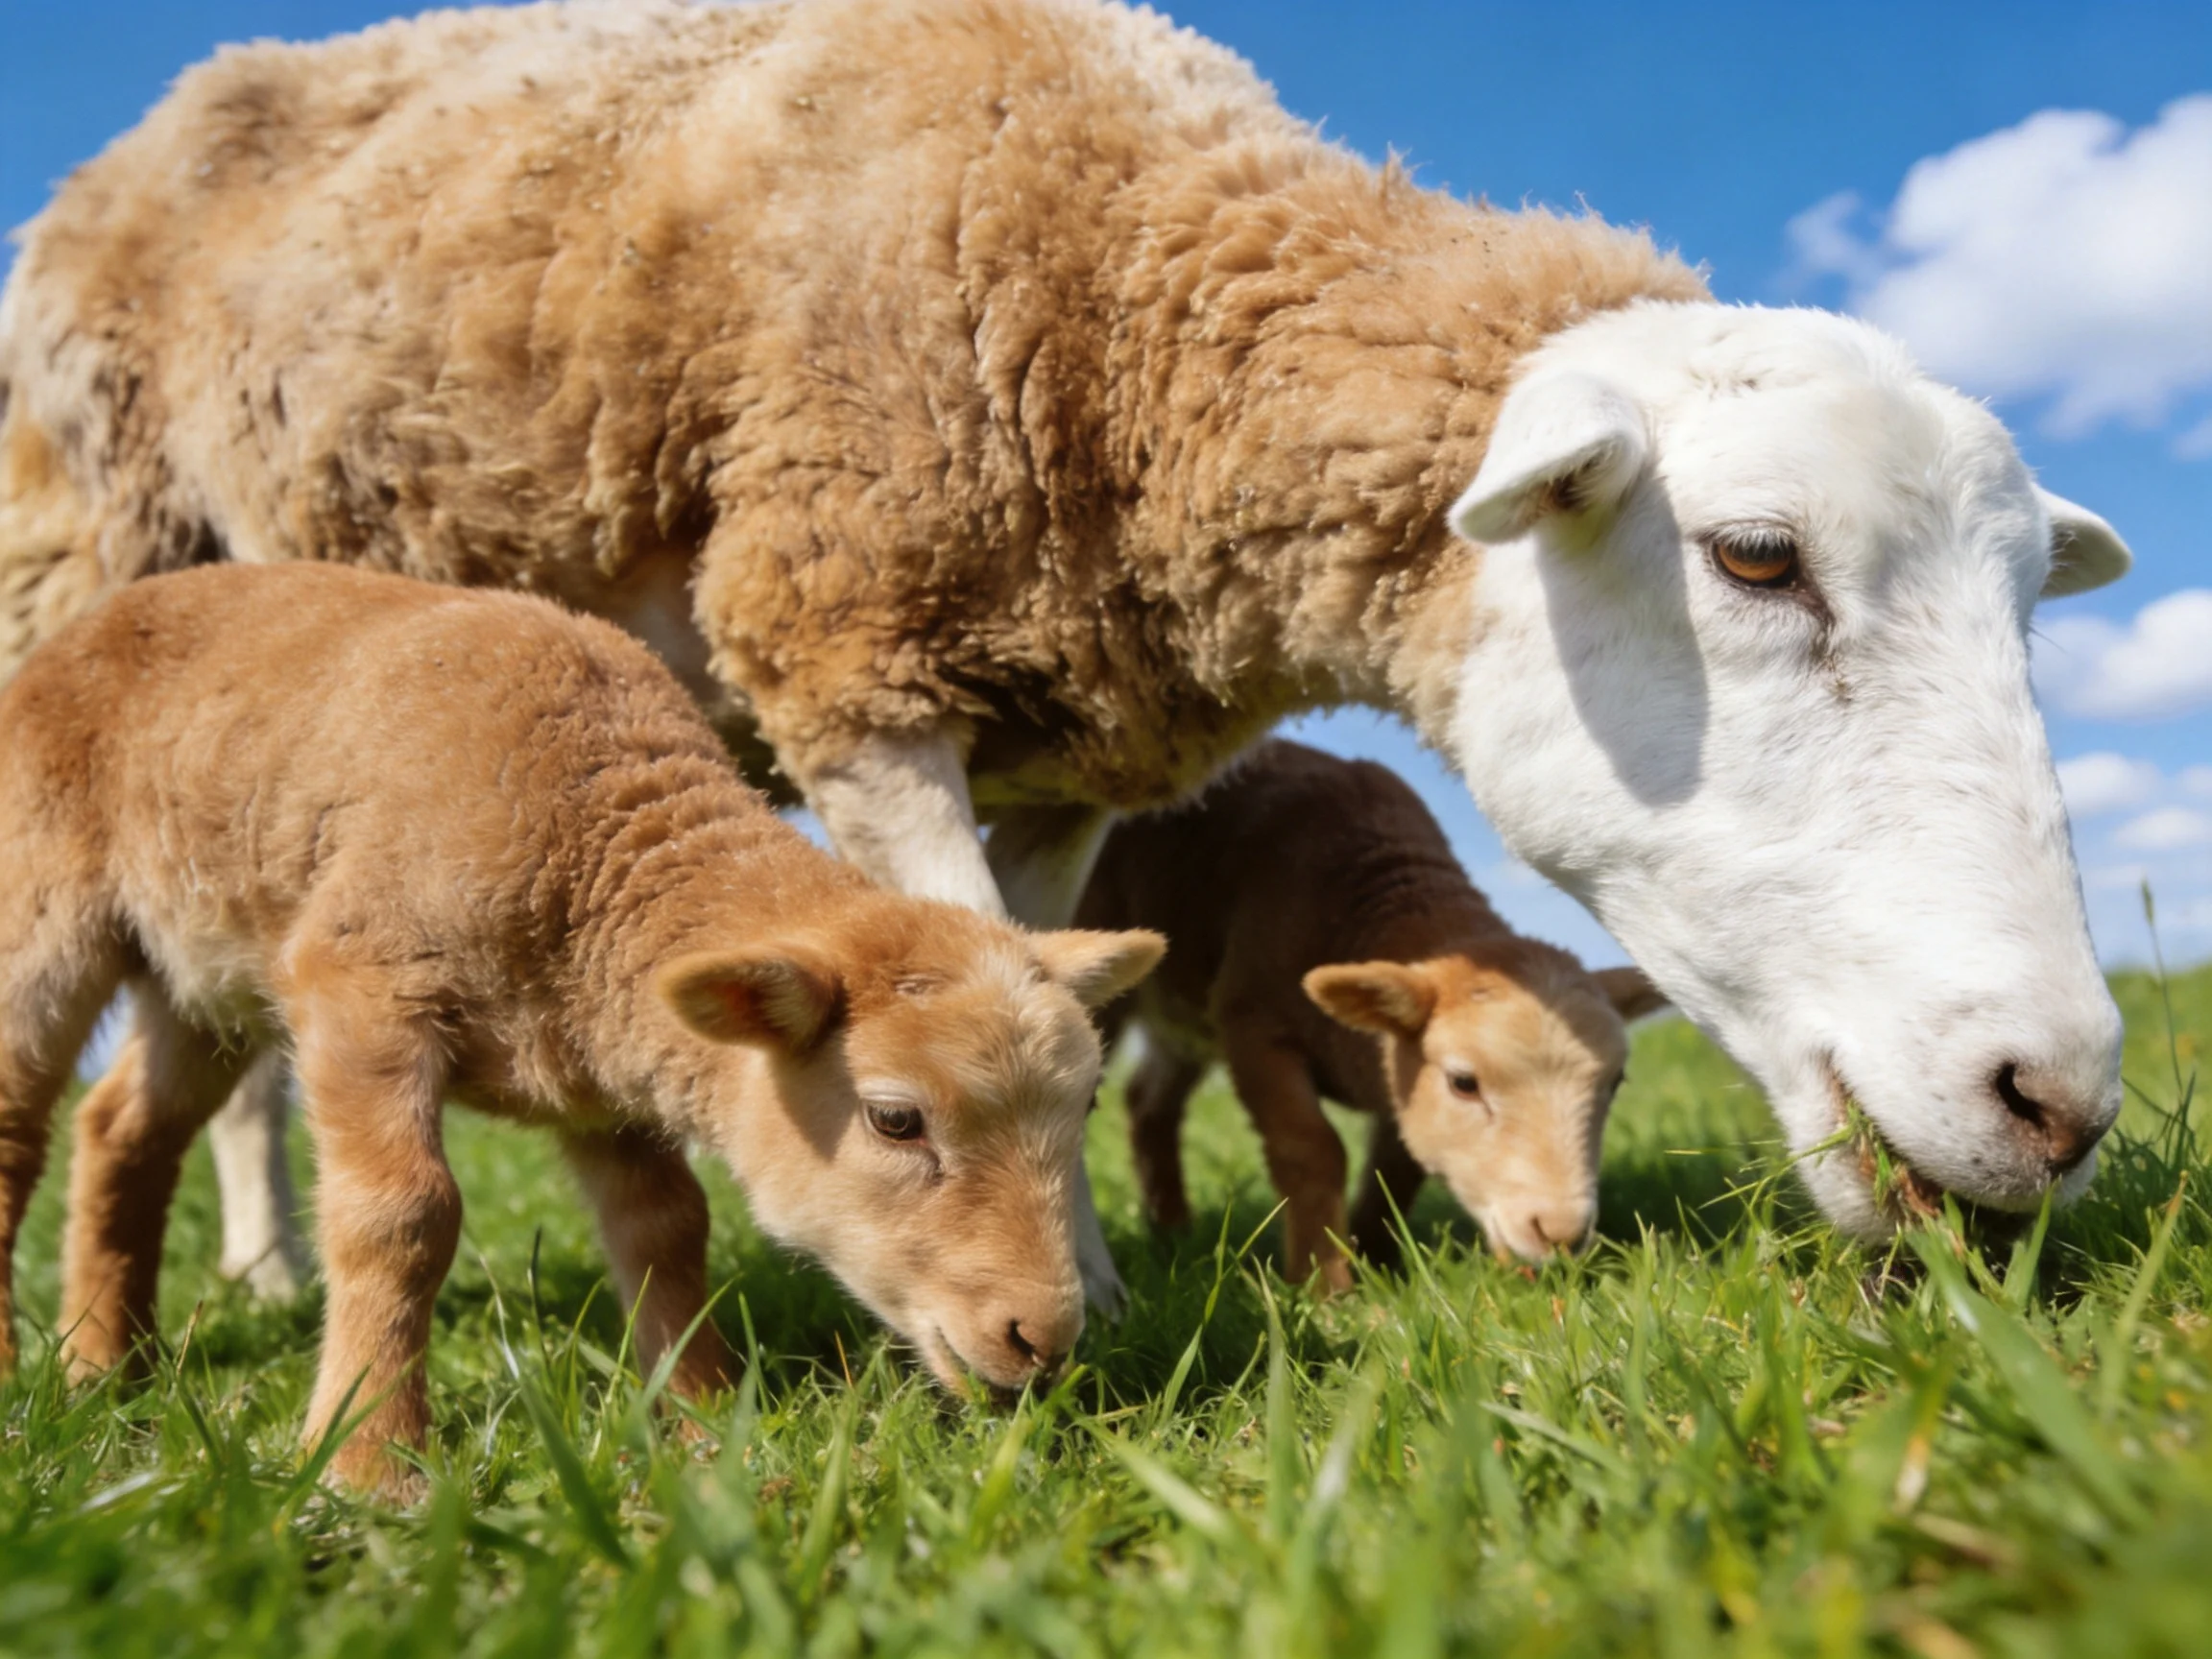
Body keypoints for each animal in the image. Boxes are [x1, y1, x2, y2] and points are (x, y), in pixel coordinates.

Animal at [0, 562, 1162, 1490]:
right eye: (895, 1121)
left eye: (1079, 1114)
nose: (1043, 1340)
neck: (595, 851)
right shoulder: (361, 983)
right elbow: (402, 1218)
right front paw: (370, 1463)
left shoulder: (605, 1081)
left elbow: (666, 1230)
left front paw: (702, 1424)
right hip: (47, 900)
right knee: (21, 1122)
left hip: (206, 966)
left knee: (124, 1129)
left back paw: (107, 1366)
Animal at [1077, 740, 1663, 1287]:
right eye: (1464, 1083)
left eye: (1614, 1084)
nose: (1560, 1232)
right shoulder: (1254, 1025)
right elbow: (1311, 1148)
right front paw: (1324, 1285)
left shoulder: (1397, 1072)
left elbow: (1397, 1168)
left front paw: (1375, 1262)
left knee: (1150, 1100)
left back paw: (1171, 1231)